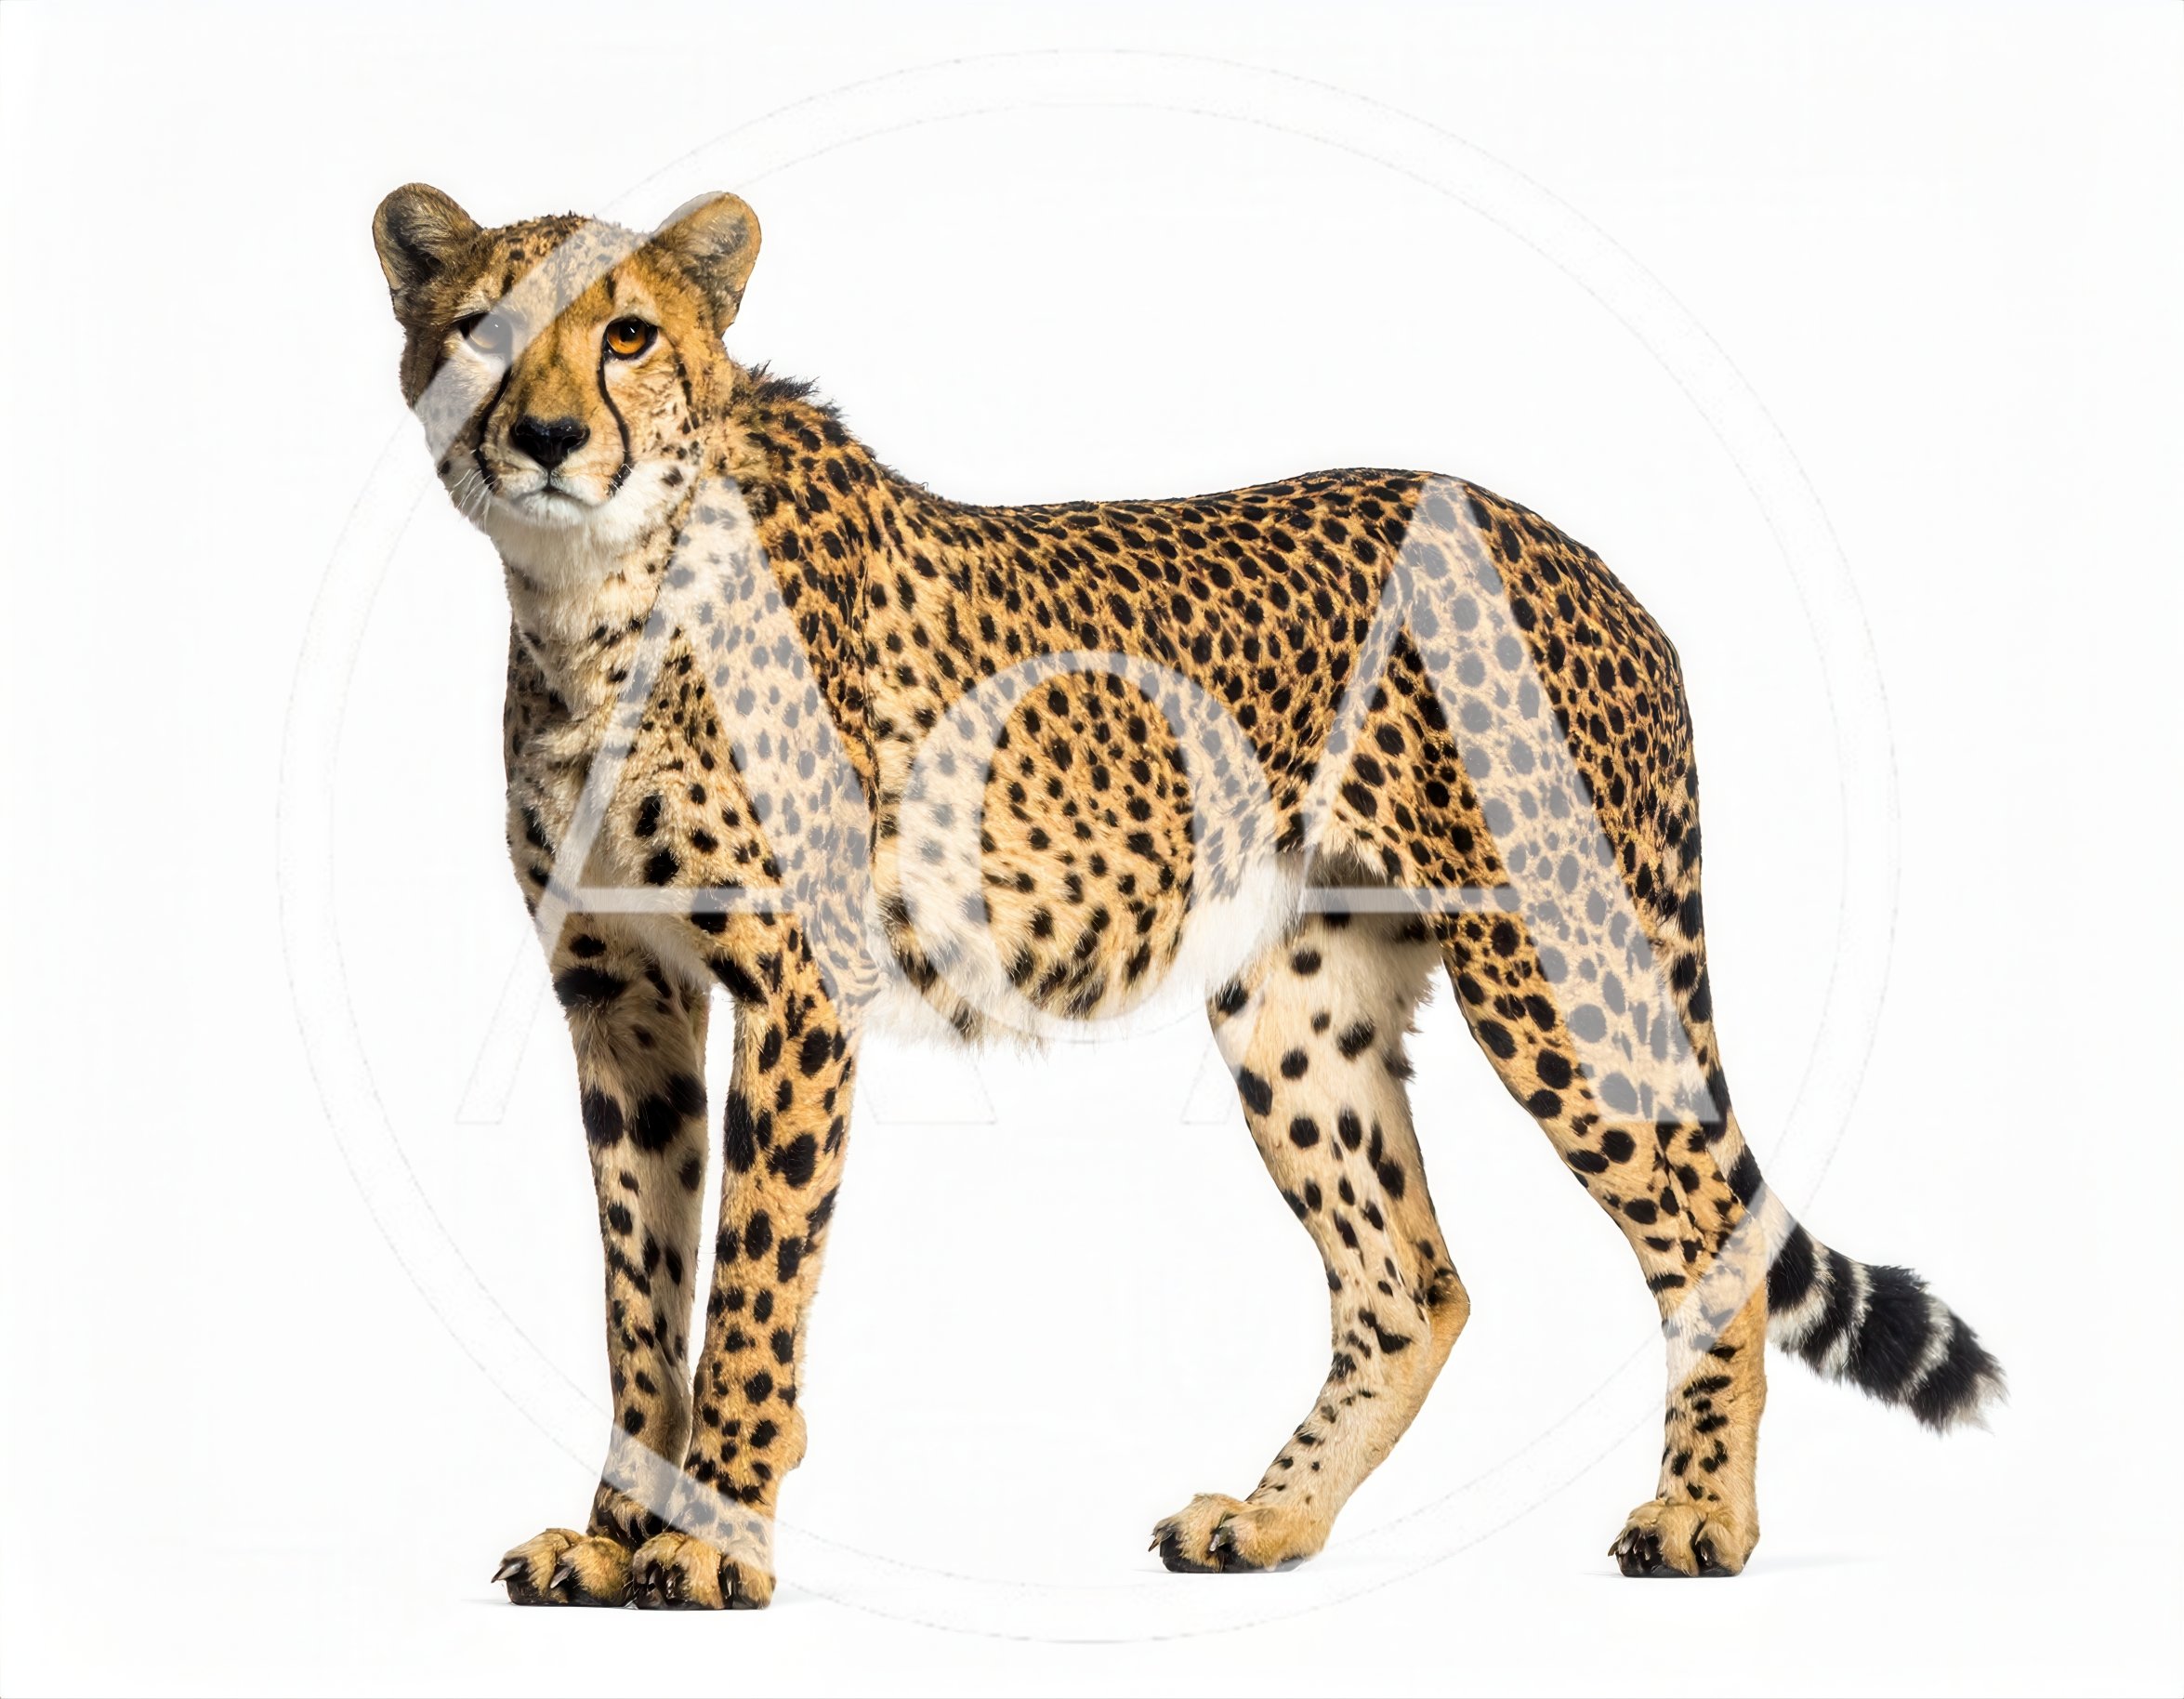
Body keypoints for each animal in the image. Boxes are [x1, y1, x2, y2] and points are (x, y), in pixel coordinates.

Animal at [370, 183, 2004, 1610]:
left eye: (627, 334)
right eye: (478, 331)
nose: (547, 436)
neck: (592, 589)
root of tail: (1588, 562)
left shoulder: (794, 991)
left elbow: (750, 1291)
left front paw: (710, 1543)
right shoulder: (619, 999)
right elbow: (637, 1293)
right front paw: (609, 1538)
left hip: (1554, 966)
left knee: (1701, 1231)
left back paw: (1697, 1519)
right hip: (1295, 999)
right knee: (1410, 1281)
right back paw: (1270, 1521)